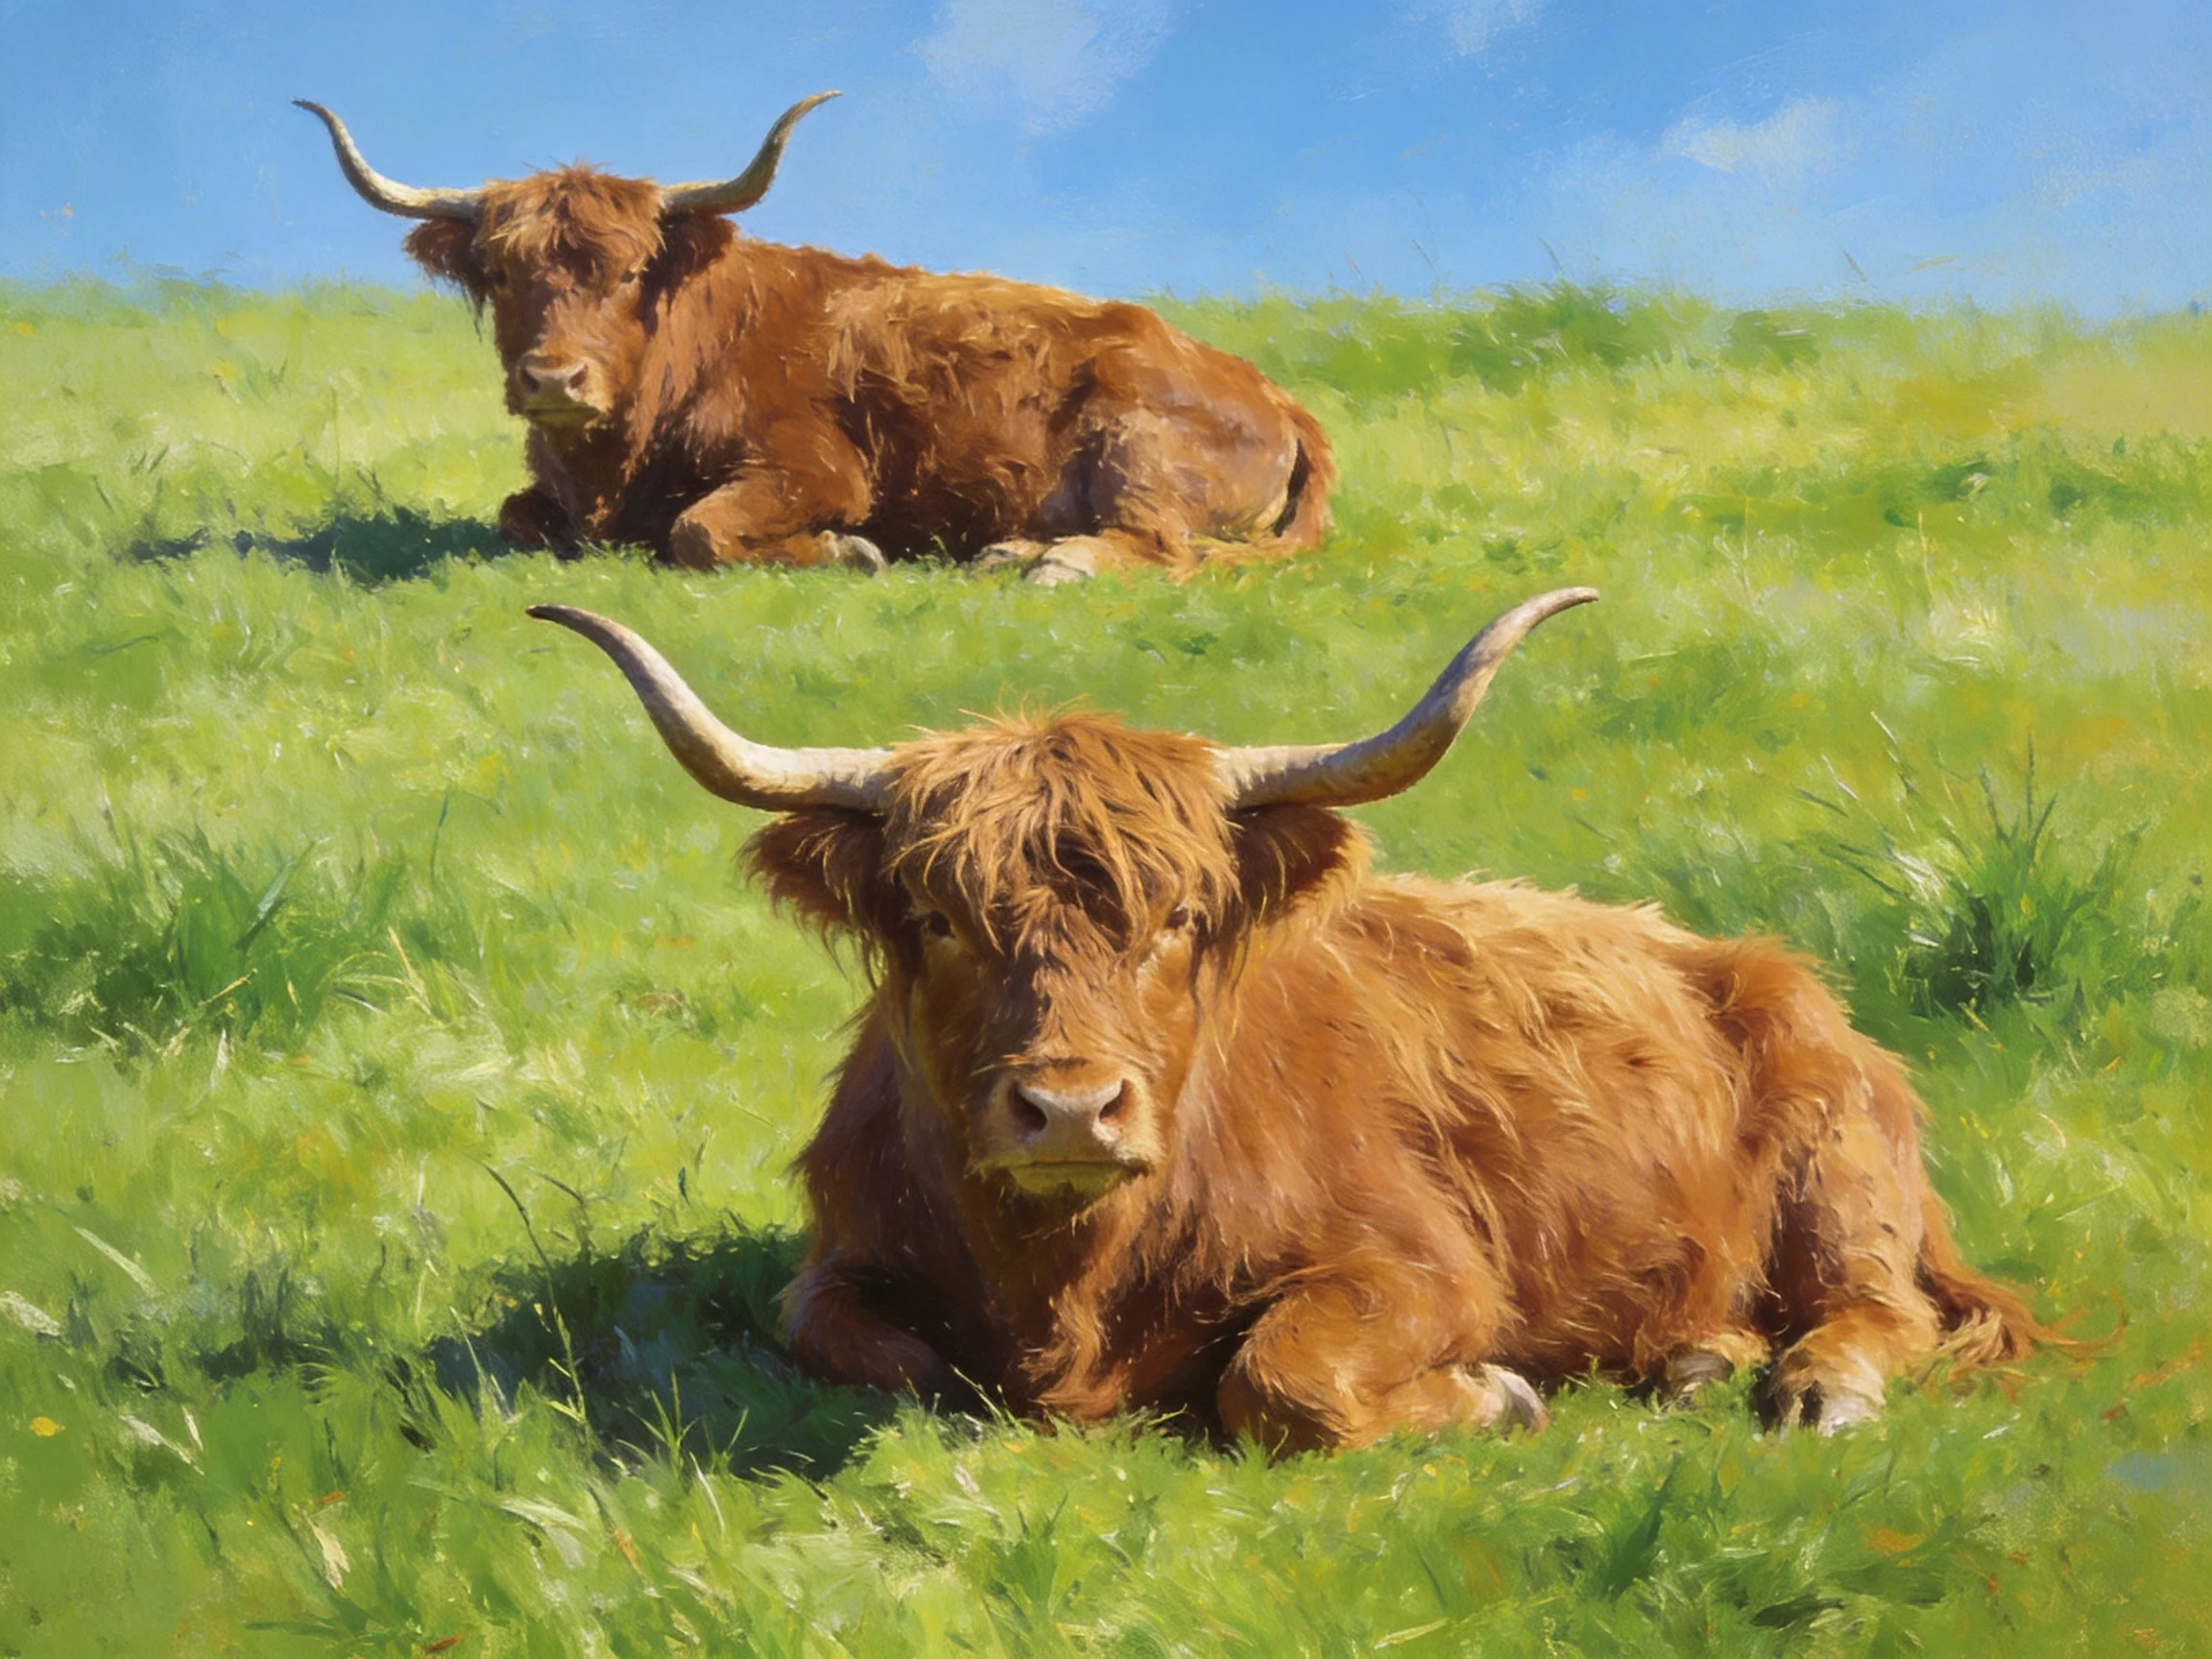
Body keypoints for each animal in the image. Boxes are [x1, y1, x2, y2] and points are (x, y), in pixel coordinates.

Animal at [298, 95, 1335, 584]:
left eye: (630, 271)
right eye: (503, 273)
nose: (555, 379)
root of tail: (1271, 392)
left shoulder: (817, 470)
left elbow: (700, 531)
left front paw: (851, 553)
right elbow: (517, 518)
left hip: (1138, 450)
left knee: (1160, 547)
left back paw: (1050, 563)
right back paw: (1011, 553)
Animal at [528, 589, 2043, 1451]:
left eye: (1181, 917)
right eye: (942, 920)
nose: (1068, 1109)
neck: (1066, 1279)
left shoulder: (1427, 1267)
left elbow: (1280, 1377)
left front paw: (1492, 1397)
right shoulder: (837, 1263)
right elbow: (874, 1354)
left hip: (1842, 1177)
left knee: (1879, 1305)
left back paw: (1817, 1391)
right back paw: (1690, 1359)